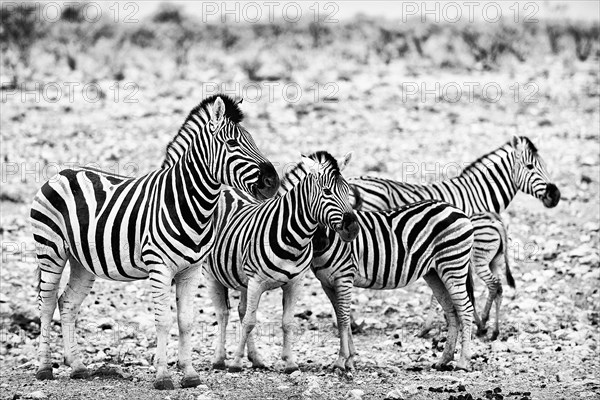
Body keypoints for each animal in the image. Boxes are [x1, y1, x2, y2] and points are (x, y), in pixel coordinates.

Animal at [29, 95, 280, 390]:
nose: (273, 182)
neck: (191, 204)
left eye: (252, 139)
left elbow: (185, 321)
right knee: (46, 305)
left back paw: (78, 367)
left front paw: (190, 375)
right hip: (51, 250)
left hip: (82, 262)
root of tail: (62, 172)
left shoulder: (192, 270)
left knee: (66, 303)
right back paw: (44, 369)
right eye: (232, 143)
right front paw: (163, 377)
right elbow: (163, 321)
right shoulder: (159, 267)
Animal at [204, 152, 358, 374]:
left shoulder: (294, 283)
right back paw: (219, 359)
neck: (293, 239)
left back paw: (256, 359)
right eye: (327, 191)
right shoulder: (256, 281)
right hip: (211, 274)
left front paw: (290, 363)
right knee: (223, 314)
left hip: (243, 281)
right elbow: (250, 322)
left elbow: (287, 322)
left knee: (241, 310)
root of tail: (228, 190)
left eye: (348, 191)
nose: (353, 228)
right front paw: (235, 363)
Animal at [350, 136, 560, 340]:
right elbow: (466, 288)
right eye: (530, 166)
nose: (555, 195)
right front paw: (468, 322)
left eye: (544, 165)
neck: (477, 193)